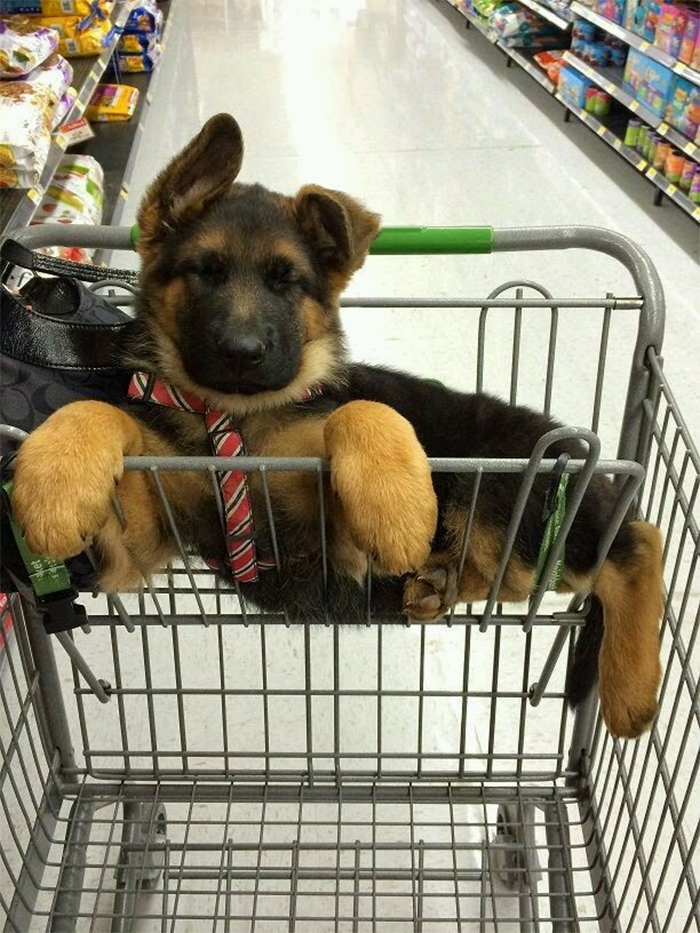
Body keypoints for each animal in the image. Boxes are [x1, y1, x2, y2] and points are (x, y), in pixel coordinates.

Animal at [13, 114, 664, 736]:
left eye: (287, 282)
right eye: (205, 271)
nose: (243, 353)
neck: (237, 420)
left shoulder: (344, 539)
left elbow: (359, 410)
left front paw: (395, 506)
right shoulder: (142, 539)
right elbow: (97, 413)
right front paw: (53, 481)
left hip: (507, 501)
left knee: (635, 543)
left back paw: (631, 692)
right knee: (544, 570)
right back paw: (440, 584)